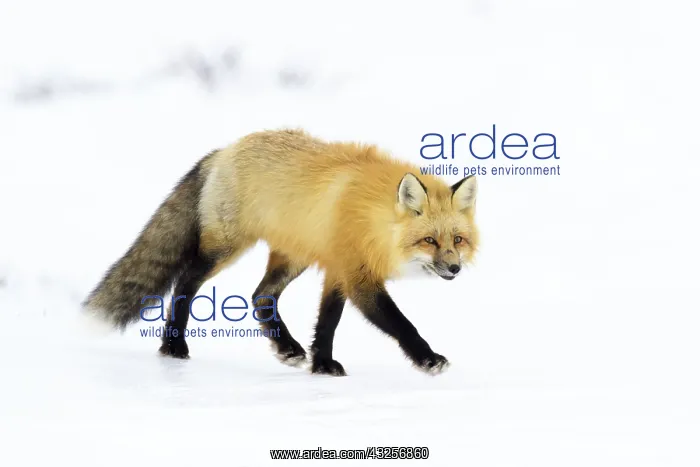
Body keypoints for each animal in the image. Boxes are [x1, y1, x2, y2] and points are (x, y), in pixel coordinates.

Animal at [84, 129, 480, 376]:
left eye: (457, 240)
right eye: (429, 241)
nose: (454, 269)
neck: (373, 220)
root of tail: (225, 150)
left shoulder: (337, 268)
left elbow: (327, 322)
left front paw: (322, 365)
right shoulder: (358, 277)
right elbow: (402, 324)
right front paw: (428, 359)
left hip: (294, 257)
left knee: (260, 297)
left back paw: (287, 347)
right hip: (225, 249)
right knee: (185, 284)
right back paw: (174, 346)